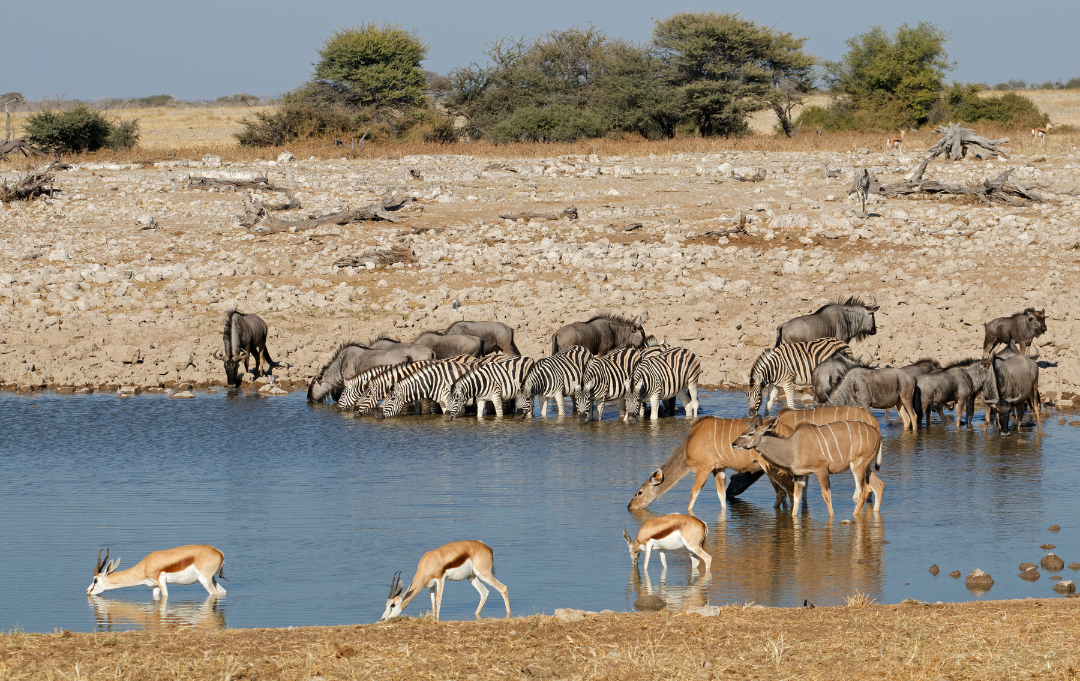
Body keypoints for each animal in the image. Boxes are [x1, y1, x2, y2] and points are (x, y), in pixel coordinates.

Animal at [89, 546, 230, 600]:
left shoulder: (160, 581)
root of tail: (220, 553)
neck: (145, 565)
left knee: (214, 593)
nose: (88, 591)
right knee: (223, 592)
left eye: (95, 580)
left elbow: (165, 596)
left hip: (204, 580)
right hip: (212, 579)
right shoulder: (155, 585)